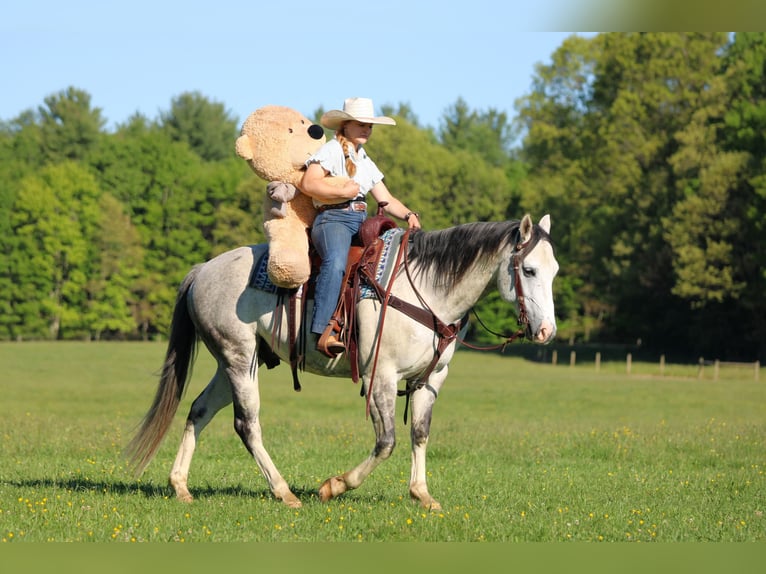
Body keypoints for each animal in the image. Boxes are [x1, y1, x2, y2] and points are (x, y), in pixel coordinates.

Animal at [126, 214, 559, 510]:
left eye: (554, 271)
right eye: (528, 269)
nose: (546, 332)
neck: (427, 289)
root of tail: (203, 270)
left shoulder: (431, 378)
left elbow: (420, 434)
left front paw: (422, 494)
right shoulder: (382, 376)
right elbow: (386, 441)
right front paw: (333, 486)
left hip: (230, 362)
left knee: (199, 410)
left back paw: (180, 486)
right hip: (239, 359)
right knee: (246, 425)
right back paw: (284, 492)